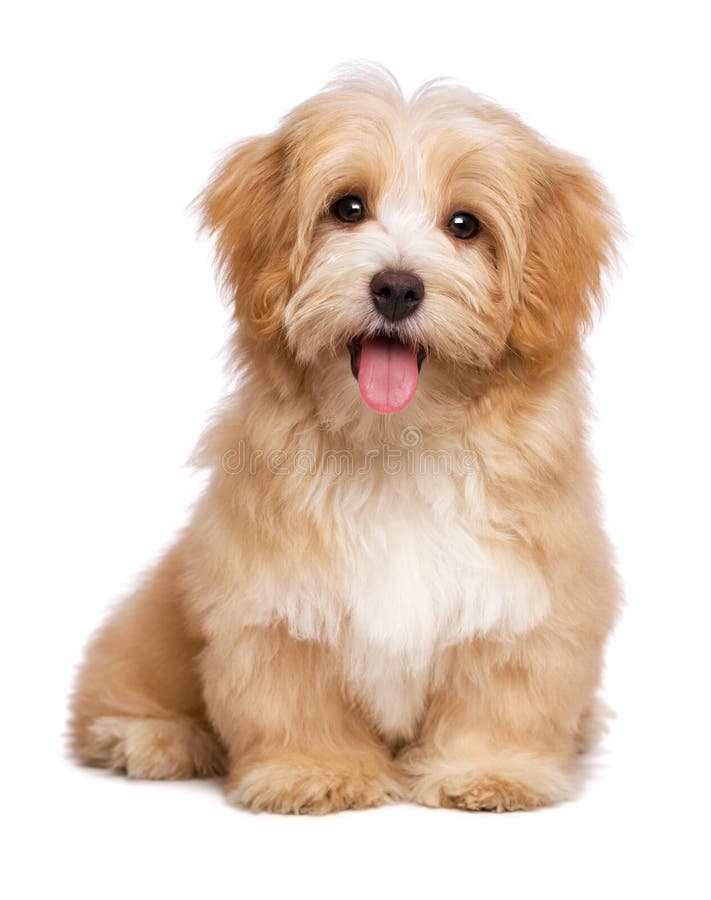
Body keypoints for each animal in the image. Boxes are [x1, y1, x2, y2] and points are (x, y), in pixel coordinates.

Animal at [69, 67, 620, 816]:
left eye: (465, 225)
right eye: (347, 208)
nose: (396, 288)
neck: (398, 443)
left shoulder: (525, 601)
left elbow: (502, 697)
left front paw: (489, 771)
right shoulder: (270, 602)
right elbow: (293, 695)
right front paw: (313, 771)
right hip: (149, 623)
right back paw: (154, 738)